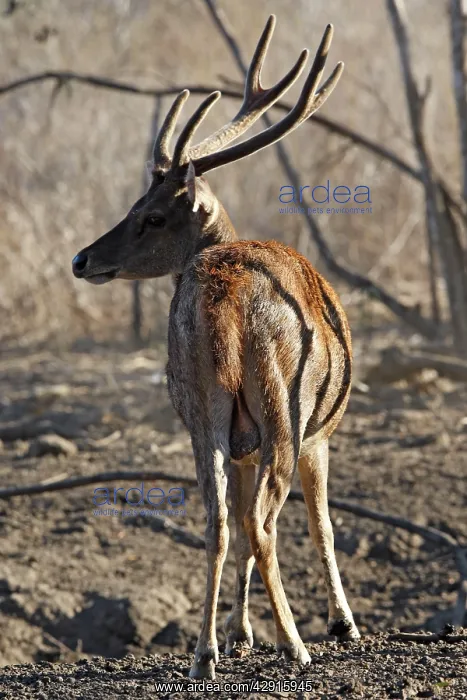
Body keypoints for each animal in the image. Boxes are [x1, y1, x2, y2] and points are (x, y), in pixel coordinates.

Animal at [72, 15, 360, 680]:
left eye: (150, 215)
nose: (82, 259)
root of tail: (224, 299)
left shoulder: (238, 440)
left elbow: (243, 531)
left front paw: (238, 633)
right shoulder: (321, 434)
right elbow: (323, 524)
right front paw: (341, 624)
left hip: (201, 407)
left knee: (219, 519)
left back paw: (204, 653)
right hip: (283, 406)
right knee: (262, 521)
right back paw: (296, 644)